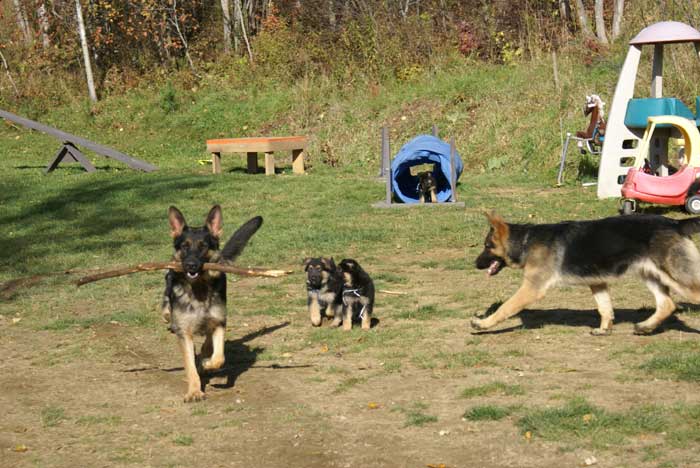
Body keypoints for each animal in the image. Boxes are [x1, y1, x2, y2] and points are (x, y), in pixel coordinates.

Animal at [161, 206, 262, 402]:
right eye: (184, 246)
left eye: (203, 246)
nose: (191, 265)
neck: (199, 288)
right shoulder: (184, 332)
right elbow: (190, 366)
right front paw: (194, 391)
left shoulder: (219, 322)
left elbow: (218, 357)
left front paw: (206, 364)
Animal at [474, 212, 700, 336]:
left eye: (487, 246)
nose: (475, 264)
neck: (526, 241)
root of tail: (676, 223)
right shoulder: (597, 282)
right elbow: (605, 308)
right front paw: (604, 329)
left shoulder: (532, 289)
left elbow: (505, 307)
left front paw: (482, 323)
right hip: (652, 275)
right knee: (667, 304)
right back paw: (645, 326)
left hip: (677, 278)